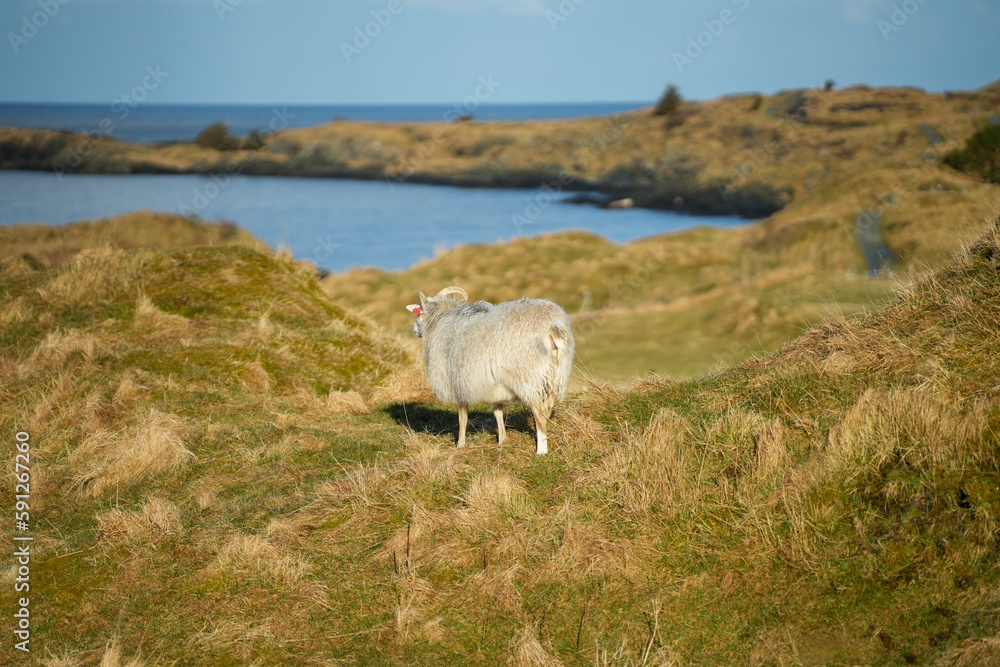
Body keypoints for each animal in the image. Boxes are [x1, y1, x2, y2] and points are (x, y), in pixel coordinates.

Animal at [406, 286, 574, 455]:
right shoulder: (495, 385)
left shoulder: (460, 383)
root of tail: (551, 326)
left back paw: (541, 450)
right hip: (554, 373)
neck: (439, 321)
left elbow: (463, 417)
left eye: (419, 313)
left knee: (539, 412)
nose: (414, 330)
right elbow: (498, 412)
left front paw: (460, 444)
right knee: (548, 408)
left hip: (526, 377)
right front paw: (502, 440)